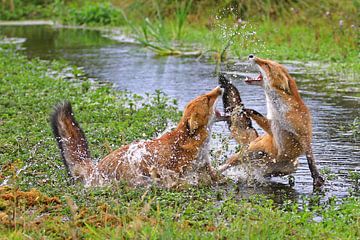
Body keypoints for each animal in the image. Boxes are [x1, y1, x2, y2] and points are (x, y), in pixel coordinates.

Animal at [52, 86, 224, 188]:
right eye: (207, 99)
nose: (220, 87)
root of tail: (95, 169)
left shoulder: (204, 165)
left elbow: (217, 176)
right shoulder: (174, 172)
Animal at [218, 55, 324, 188]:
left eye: (266, 65)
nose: (251, 55)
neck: (280, 113)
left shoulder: (303, 134)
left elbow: (311, 160)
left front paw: (317, 178)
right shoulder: (272, 126)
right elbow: (254, 112)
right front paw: (242, 110)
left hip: (290, 166)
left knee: (261, 172)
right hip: (247, 153)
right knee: (227, 164)